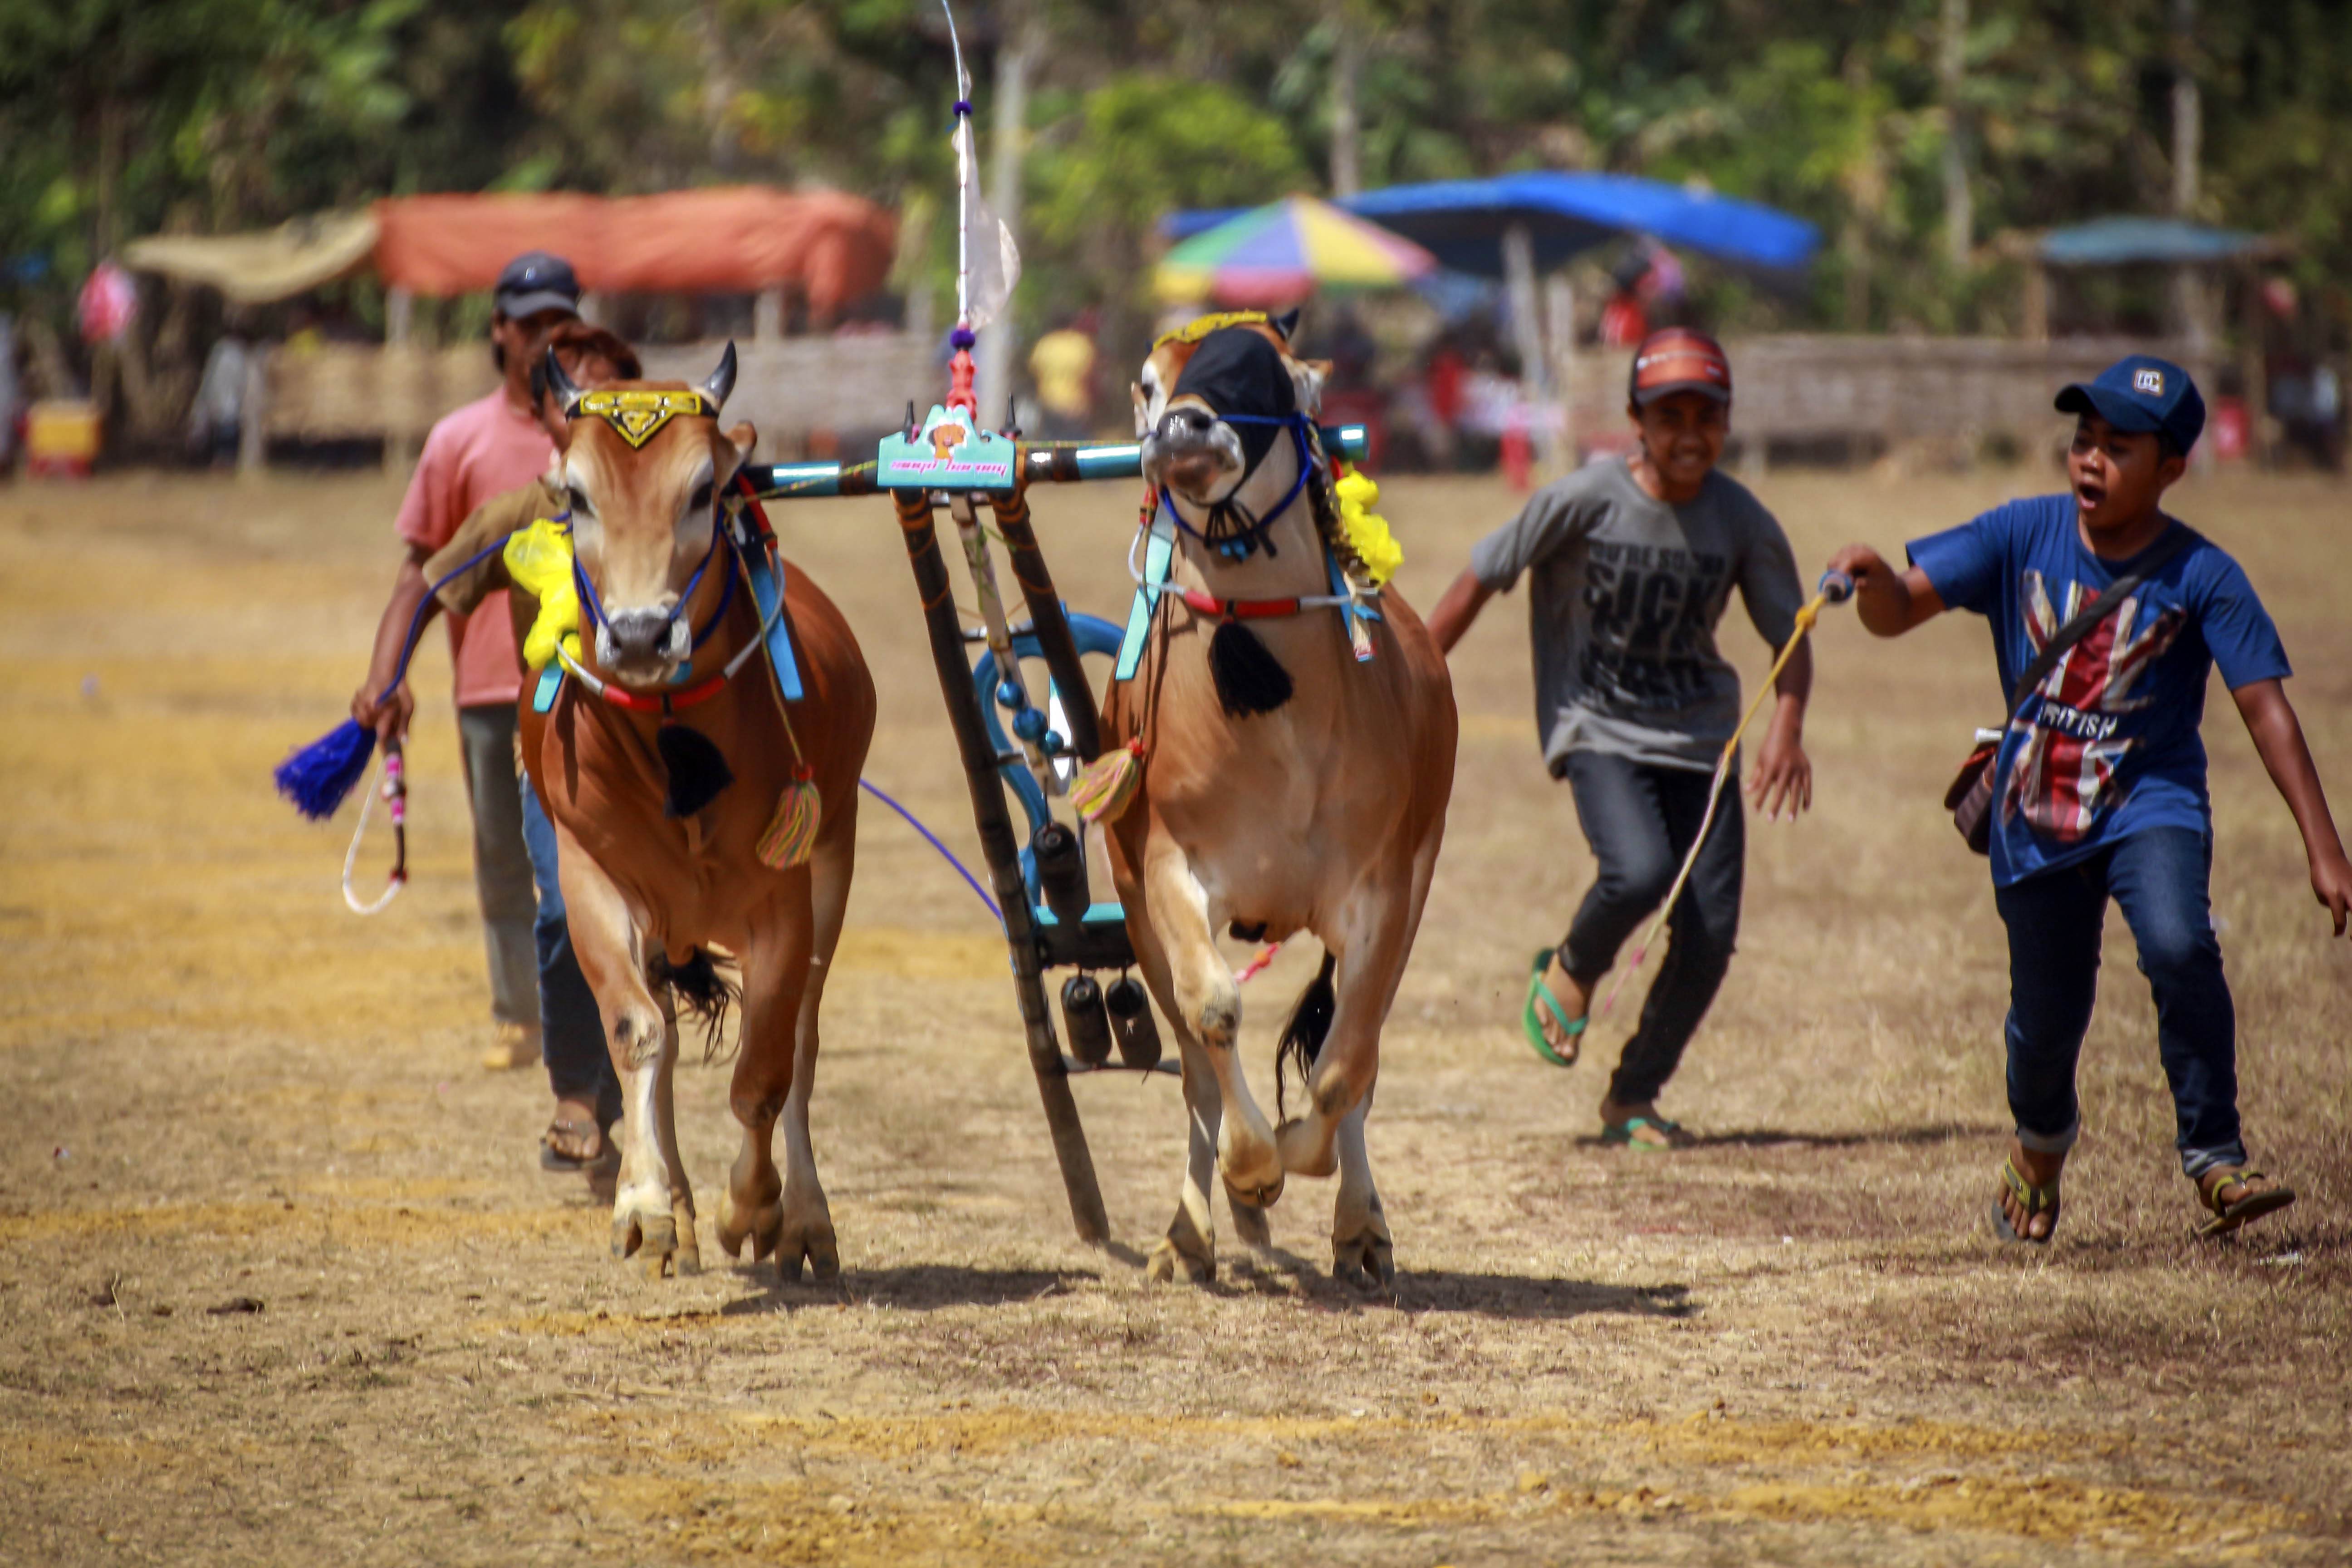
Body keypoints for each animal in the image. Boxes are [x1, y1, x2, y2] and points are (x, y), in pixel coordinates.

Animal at [522, 350, 875, 1279]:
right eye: (575, 495)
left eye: (702, 490)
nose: (643, 636)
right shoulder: (591, 876)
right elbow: (637, 1035)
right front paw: (646, 1206)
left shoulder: (787, 900)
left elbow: (765, 1072)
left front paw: (754, 1206)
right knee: (670, 1041)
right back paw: (676, 1206)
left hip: (834, 863)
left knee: (801, 1044)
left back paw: (804, 1218)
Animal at [1096, 319, 1449, 1288]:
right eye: (1148, 382)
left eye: (1269, 374)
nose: (1179, 431)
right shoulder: (1165, 869)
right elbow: (1211, 1016)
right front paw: (1250, 1171)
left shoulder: (1387, 894)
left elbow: (1341, 1070)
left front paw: (1307, 1167)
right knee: (1193, 1068)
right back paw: (1192, 1230)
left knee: (1357, 1058)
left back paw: (1359, 1226)